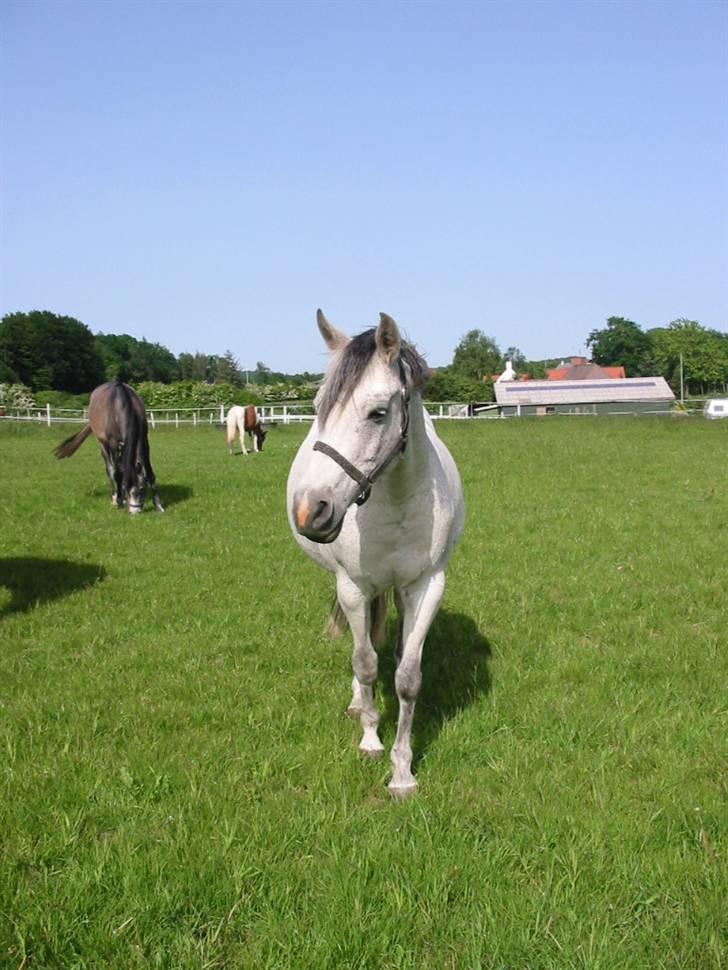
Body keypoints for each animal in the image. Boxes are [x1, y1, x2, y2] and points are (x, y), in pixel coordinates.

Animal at [53, 380, 164, 510]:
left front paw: (158, 505)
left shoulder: (144, 439)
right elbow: (117, 473)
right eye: (126, 487)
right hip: (103, 444)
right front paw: (120, 501)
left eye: (142, 488)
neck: (120, 405)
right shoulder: (113, 442)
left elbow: (149, 472)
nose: (134, 511)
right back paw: (114, 497)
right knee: (110, 468)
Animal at [288, 308, 464, 796]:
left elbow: (407, 677)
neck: (396, 501)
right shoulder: (352, 587)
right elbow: (365, 663)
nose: (310, 511)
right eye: (319, 408)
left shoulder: (426, 587)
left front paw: (403, 772)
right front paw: (370, 738)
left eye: (377, 413)